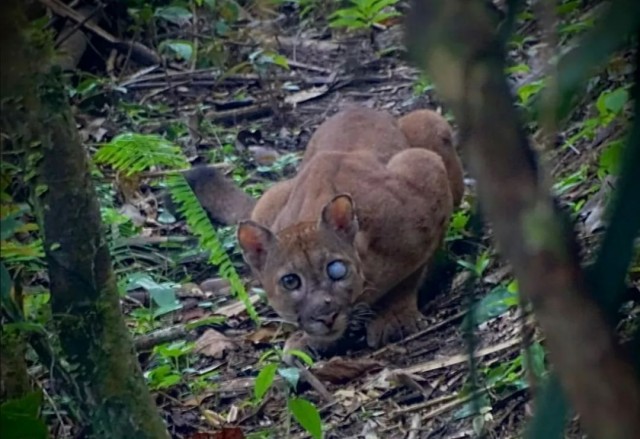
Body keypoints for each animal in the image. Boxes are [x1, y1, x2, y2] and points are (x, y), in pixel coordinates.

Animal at [182, 106, 462, 358]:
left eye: (336, 269)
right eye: (290, 281)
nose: (325, 316)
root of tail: (357, 107)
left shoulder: (423, 172)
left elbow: (410, 273)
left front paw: (394, 316)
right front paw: (309, 341)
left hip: (430, 122)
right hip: (269, 199)